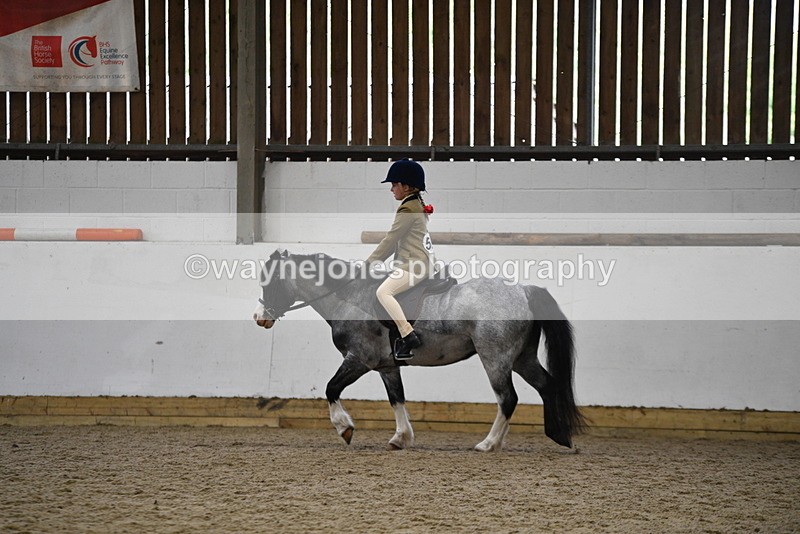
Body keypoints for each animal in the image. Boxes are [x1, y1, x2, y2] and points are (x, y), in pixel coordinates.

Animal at [253, 250, 585, 452]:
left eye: (270, 282)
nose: (260, 318)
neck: (349, 297)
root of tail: (524, 290)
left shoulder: (359, 359)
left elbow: (331, 388)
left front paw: (344, 429)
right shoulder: (387, 366)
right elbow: (397, 399)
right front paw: (400, 438)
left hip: (496, 359)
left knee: (508, 398)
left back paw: (489, 444)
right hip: (521, 358)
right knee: (547, 385)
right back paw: (558, 436)